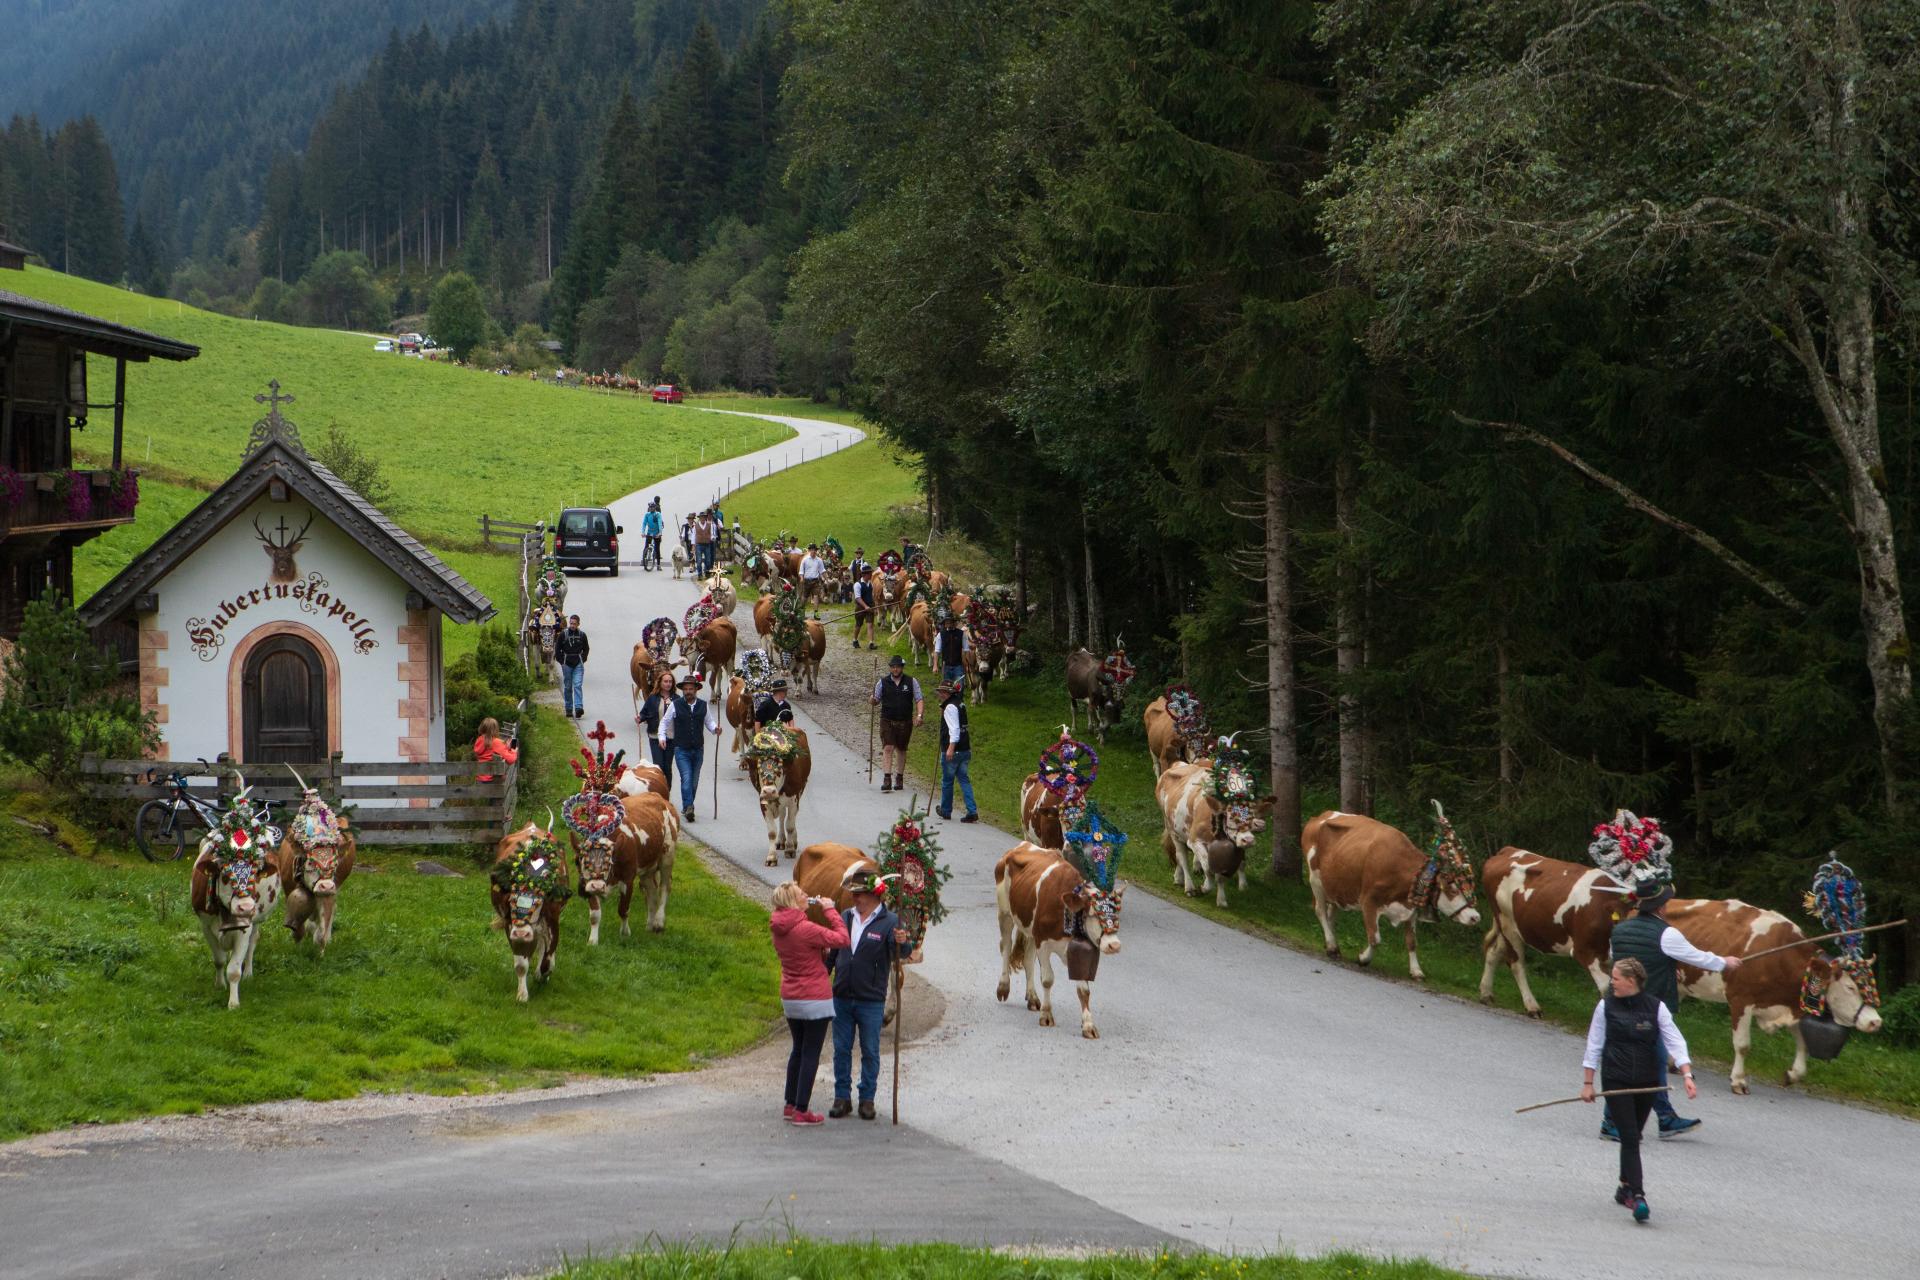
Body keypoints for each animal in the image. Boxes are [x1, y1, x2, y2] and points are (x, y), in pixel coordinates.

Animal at [191, 782, 284, 1013]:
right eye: (224, 874)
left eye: (256, 872)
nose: (245, 907)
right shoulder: (205, 925)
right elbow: (219, 960)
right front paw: (219, 985)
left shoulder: (244, 928)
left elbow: (234, 968)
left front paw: (233, 1002)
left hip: (258, 919)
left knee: (253, 943)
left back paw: (249, 972)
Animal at [564, 790, 679, 940]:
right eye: (578, 860)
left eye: (610, 861)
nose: (597, 886)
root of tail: (657, 796)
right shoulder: (589, 884)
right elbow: (594, 915)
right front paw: (593, 940)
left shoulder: (628, 879)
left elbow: (623, 909)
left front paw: (625, 933)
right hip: (647, 868)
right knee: (652, 893)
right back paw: (649, 926)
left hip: (667, 856)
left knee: (665, 887)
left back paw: (658, 922)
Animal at [741, 729, 810, 871]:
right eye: (759, 770)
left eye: (779, 770)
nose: (769, 791)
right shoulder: (763, 803)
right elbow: (772, 832)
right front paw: (771, 857)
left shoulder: (793, 799)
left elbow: (790, 825)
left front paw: (790, 849)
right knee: (782, 816)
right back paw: (781, 841)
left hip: (800, 792)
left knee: (791, 818)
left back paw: (792, 841)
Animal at [1305, 794, 1482, 974]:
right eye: (1452, 889)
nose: (1475, 917)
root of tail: (1319, 817)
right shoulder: (1368, 900)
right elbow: (1375, 938)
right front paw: (1363, 958)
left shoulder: (1411, 907)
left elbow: (1412, 942)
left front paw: (1416, 970)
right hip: (1316, 880)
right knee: (1320, 911)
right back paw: (1332, 947)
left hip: (1334, 886)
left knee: (1331, 914)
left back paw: (1332, 944)